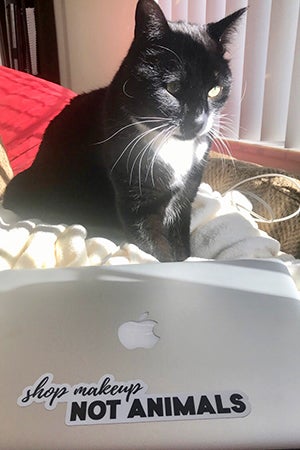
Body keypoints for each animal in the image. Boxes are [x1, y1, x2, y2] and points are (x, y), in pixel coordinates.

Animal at [3, 0, 246, 260]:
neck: (170, 145)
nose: (199, 121)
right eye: (173, 87)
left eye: (215, 90)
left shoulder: (185, 197)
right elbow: (158, 249)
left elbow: (182, 245)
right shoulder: (137, 201)